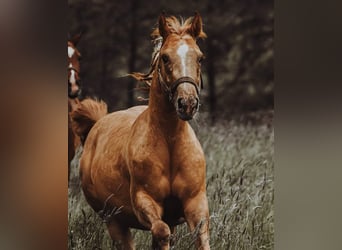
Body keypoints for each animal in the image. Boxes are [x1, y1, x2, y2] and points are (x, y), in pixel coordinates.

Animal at [72, 12, 210, 249]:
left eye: (199, 58)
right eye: (165, 57)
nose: (187, 103)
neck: (169, 142)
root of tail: (97, 124)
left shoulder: (195, 202)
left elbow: (200, 236)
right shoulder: (143, 200)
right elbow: (161, 231)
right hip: (114, 220)